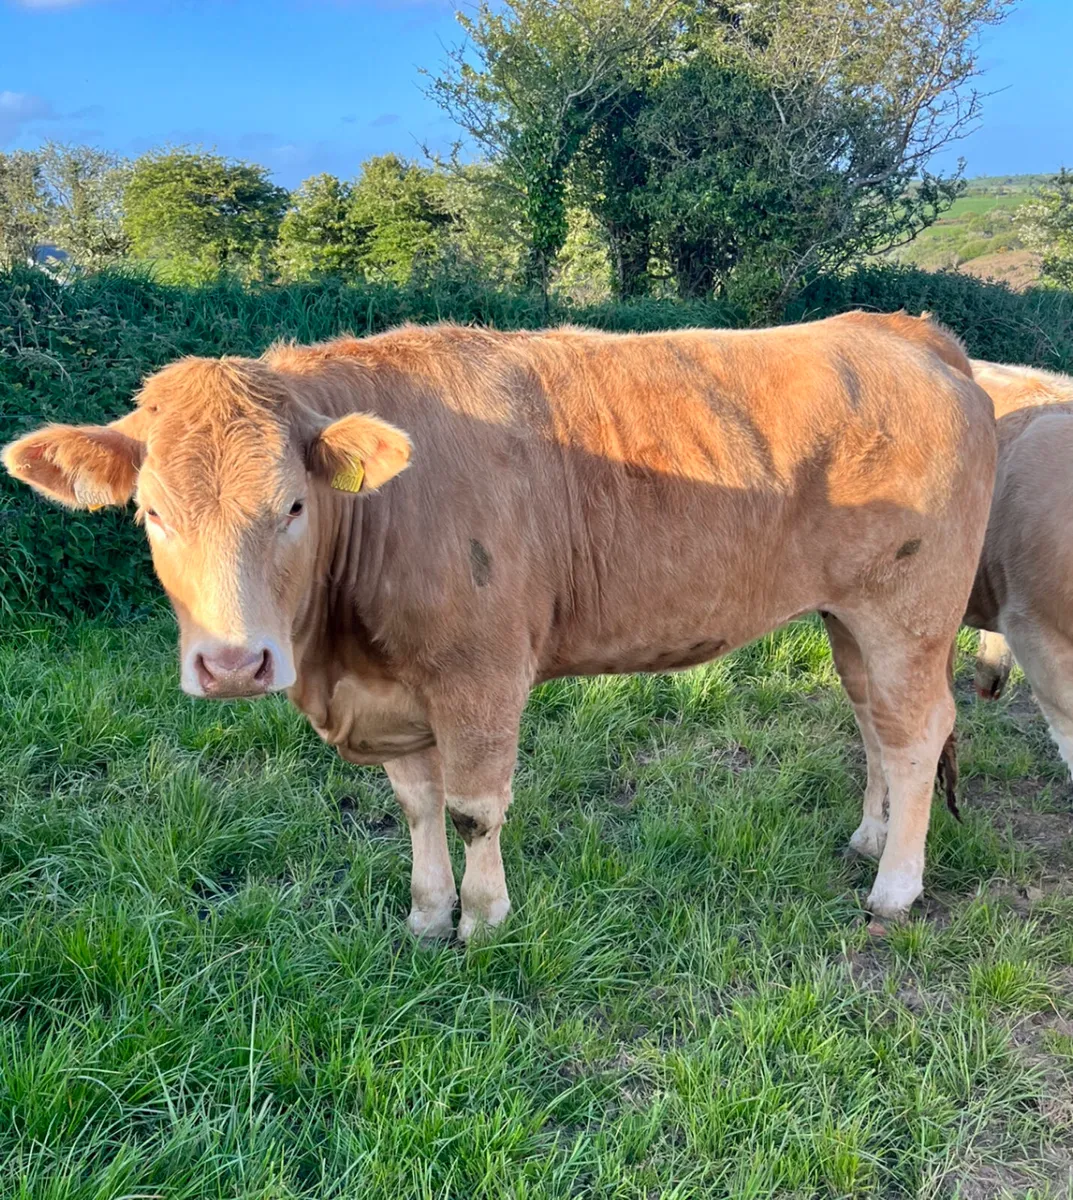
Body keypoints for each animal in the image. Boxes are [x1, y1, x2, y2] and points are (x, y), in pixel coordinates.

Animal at [3, 313, 996, 938]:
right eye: (152, 514)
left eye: (292, 505)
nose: (235, 664)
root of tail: (906, 332)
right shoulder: (395, 692)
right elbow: (417, 805)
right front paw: (423, 912)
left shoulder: (477, 674)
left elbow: (475, 808)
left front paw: (481, 922)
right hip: (848, 617)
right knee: (873, 720)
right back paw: (868, 839)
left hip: (907, 612)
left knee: (917, 732)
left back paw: (895, 885)